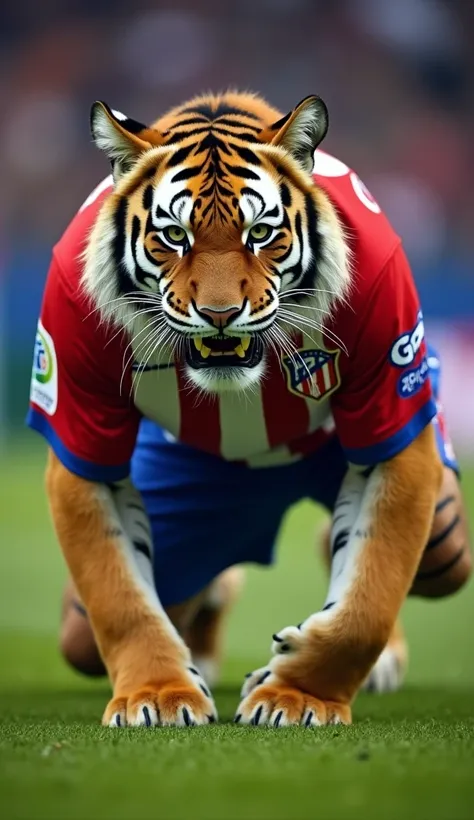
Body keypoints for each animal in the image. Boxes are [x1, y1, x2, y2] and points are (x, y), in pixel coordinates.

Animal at [28, 91, 470, 724]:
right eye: (174, 236)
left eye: (260, 232)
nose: (219, 314)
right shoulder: (80, 418)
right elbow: (119, 597)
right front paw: (158, 693)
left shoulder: (392, 410)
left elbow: (369, 598)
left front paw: (298, 694)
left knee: (430, 550)